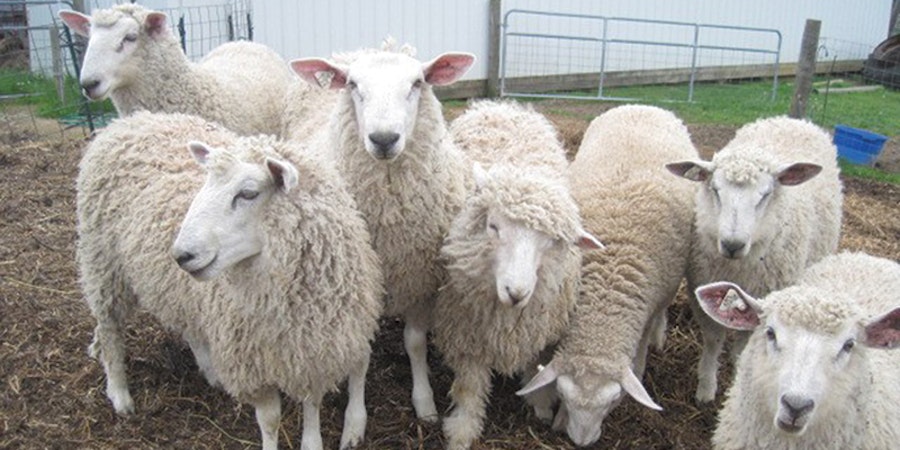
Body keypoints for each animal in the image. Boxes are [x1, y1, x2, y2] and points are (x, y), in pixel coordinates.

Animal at [76, 111, 383, 450]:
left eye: (248, 193)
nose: (181, 255)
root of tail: (125, 122)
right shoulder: (253, 364)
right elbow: (270, 420)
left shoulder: (312, 349)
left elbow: (311, 404)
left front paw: (312, 441)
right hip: (102, 263)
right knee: (109, 329)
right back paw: (120, 394)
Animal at [289, 40, 475, 421]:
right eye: (353, 85)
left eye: (417, 83)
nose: (384, 138)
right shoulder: (360, 289)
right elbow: (359, 357)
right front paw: (355, 420)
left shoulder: (420, 279)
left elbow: (415, 343)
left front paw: (425, 403)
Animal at [431, 100, 603, 450]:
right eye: (493, 226)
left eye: (552, 242)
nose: (517, 292)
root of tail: (503, 105)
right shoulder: (466, 333)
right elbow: (469, 385)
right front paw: (463, 428)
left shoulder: (536, 328)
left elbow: (534, 362)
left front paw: (540, 404)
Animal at [517, 104, 698, 447]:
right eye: (563, 395)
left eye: (613, 401)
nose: (581, 442)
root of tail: (642, 106)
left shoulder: (651, 303)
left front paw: (639, 368)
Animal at [666, 116, 843, 403]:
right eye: (715, 190)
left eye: (765, 195)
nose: (732, 244)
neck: (737, 268)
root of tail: (792, 119)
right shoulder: (701, 291)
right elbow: (713, 341)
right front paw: (706, 388)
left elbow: (742, 347)